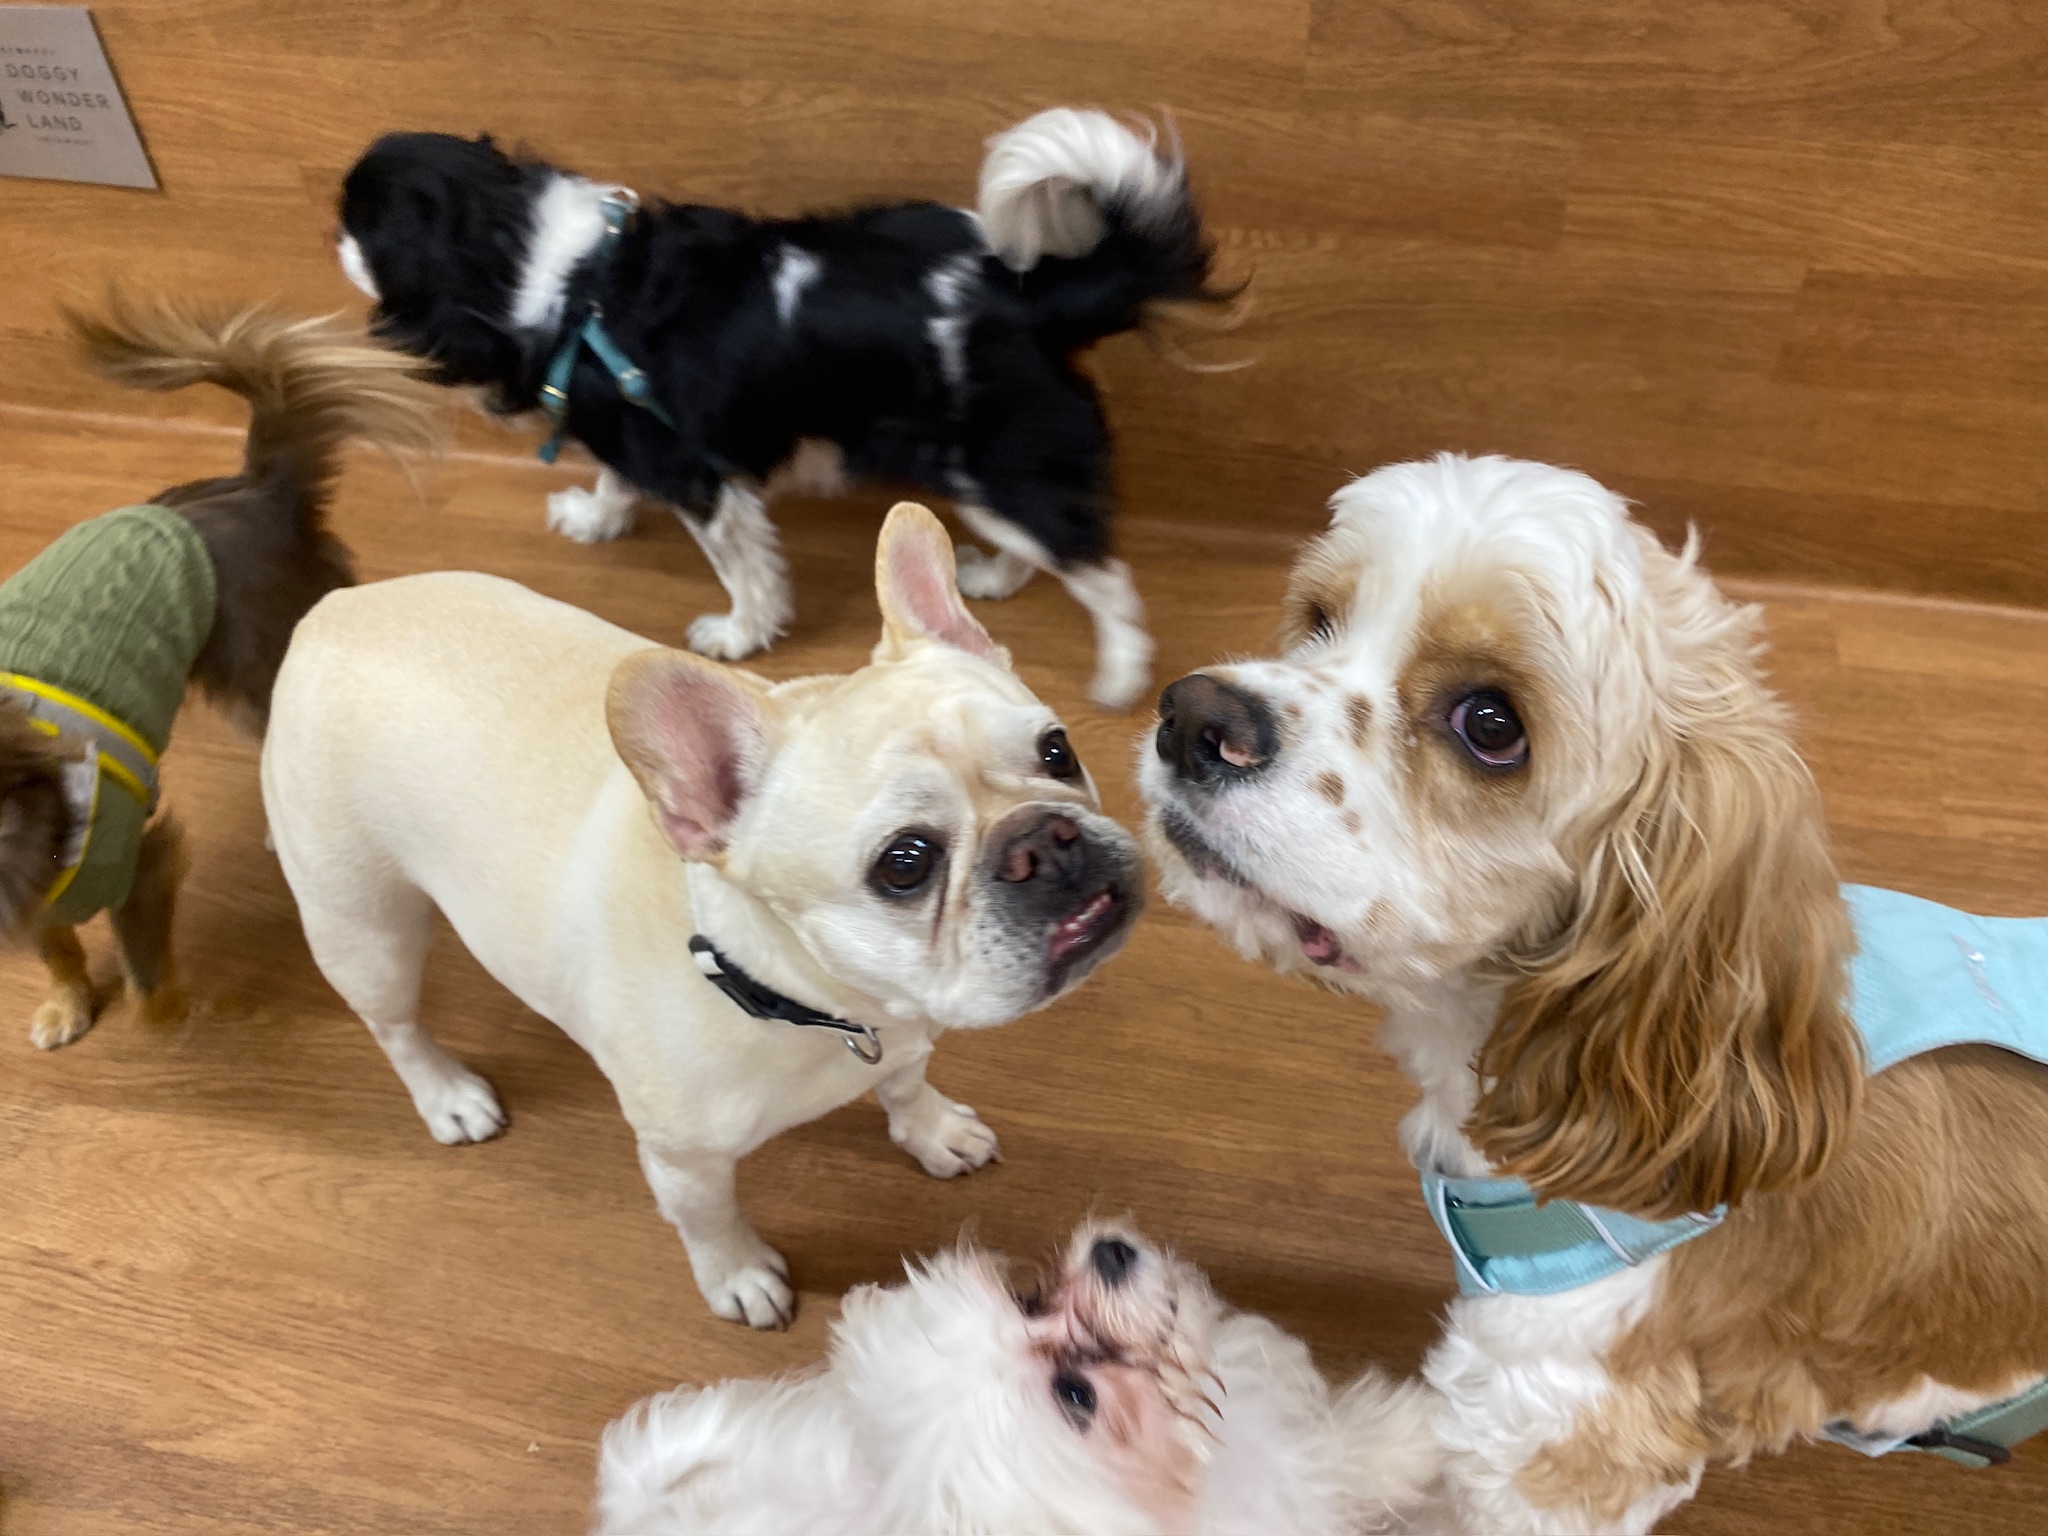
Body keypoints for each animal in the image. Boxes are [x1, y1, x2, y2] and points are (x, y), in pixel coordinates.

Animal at [0, 296, 436, 1049]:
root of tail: (260, 487)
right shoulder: (39, 896)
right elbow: (57, 948)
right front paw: (66, 1005)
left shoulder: (140, 861)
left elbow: (145, 980)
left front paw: (171, 1019)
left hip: (261, 675)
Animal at [260, 501, 1143, 1328]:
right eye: (905, 863)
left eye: (1059, 750)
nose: (1048, 840)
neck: (827, 1003)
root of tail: (334, 611)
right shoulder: (683, 1160)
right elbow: (709, 1219)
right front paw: (739, 1276)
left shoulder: (903, 1036)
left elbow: (905, 1083)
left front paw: (930, 1129)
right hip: (364, 925)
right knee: (395, 1024)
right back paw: (447, 1093)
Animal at [331, 107, 1227, 709]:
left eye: (359, 222)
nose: (330, 235)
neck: (564, 275)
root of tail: (1029, 294)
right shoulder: (634, 431)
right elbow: (617, 481)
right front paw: (594, 521)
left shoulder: (697, 473)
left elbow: (745, 571)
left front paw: (738, 637)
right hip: (988, 476)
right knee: (1039, 546)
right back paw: (991, 582)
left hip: (1003, 465)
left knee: (1098, 569)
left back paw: (1120, 675)